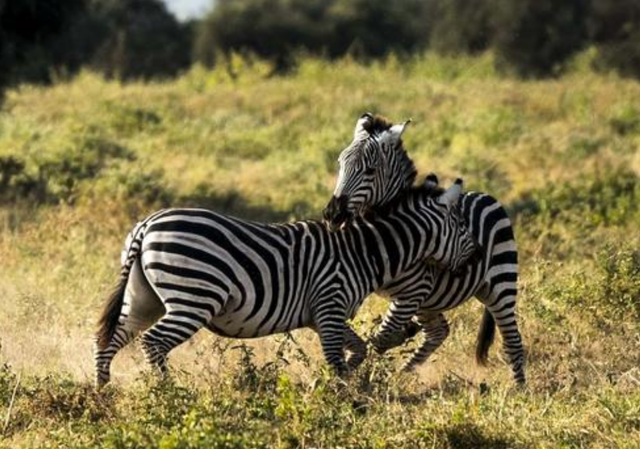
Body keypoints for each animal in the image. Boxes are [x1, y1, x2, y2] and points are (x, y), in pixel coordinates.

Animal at [92, 173, 478, 386]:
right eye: (462, 226)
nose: (475, 257)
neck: (362, 251)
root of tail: (147, 224)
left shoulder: (322, 315)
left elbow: (357, 349)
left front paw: (347, 383)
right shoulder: (330, 305)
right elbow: (337, 358)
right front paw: (340, 397)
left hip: (144, 298)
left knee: (110, 339)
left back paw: (102, 393)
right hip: (193, 298)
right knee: (153, 343)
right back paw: (170, 394)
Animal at [322, 114, 524, 384]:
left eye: (370, 171)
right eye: (340, 164)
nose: (333, 215)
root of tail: (486, 195)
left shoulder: (414, 292)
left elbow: (381, 339)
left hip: (501, 285)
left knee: (513, 341)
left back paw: (520, 388)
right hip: (431, 304)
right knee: (439, 331)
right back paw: (404, 372)